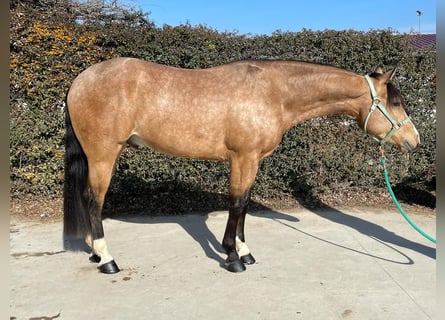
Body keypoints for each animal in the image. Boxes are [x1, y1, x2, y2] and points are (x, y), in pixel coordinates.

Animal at [63, 57, 420, 272]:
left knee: (87, 199)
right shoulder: (242, 157)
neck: (273, 93)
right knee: (94, 200)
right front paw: (233, 258)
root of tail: (80, 80)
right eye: (396, 102)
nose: (414, 140)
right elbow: (237, 203)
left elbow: (245, 204)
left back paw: (95, 252)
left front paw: (244, 251)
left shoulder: (252, 161)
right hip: (103, 155)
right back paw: (107, 260)